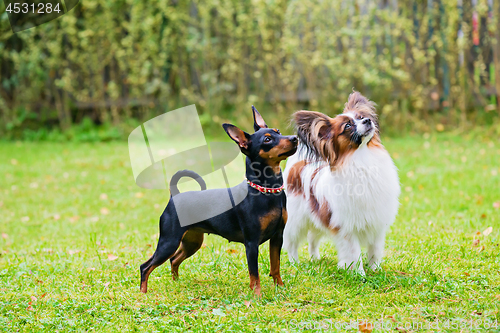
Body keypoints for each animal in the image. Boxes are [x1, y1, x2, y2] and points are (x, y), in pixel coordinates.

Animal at [139, 105, 296, 294]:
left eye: (278, 131)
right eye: (267, 139)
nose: (295, 138)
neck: (267, 191)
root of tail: (175, 195)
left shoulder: (277, 237)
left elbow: (275, 266)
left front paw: (280, 288)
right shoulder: (251, 243)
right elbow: (254, 273)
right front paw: (257, 295)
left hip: (192, 241)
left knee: (174, 260)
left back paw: (176, 283)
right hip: (169, 242)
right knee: (146, 266)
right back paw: (143, 294)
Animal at [284, 91, 400, 274]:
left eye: (361, 117)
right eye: (347, 126)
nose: (368, 121)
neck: (362, 158)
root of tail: (298, 164)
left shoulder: (377, 224)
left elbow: (374, 250)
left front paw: (375, 270)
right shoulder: (347, 228)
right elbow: (354, 253)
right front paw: (359, 274)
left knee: (313, 239)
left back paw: (315, 258)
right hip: (296, 220)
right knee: (291, 243)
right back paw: (295, 263)